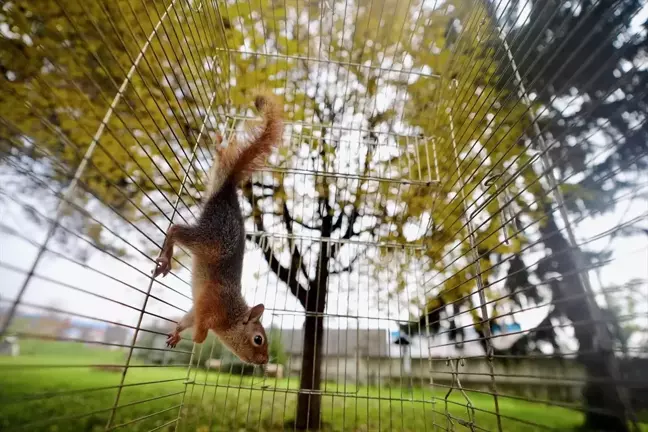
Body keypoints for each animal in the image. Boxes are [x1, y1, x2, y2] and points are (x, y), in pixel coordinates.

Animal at [153, 91, 284, 364]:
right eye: (258, 339)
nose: (265, 361)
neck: (230, 314)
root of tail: (227, 192)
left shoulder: (196, 310)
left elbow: (186, 320)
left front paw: (177, 334)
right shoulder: (208, 306)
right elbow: (200, 330)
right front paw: (197, 339)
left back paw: (219, 146)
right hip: (209, 239)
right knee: (175, 229)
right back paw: (167, 259)